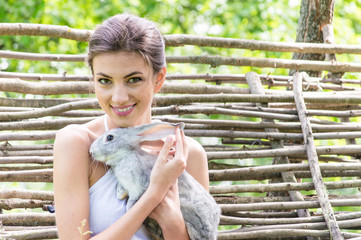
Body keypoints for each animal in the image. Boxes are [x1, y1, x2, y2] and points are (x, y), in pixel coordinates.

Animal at [89, 122, 219, 240]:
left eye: (110, 137)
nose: (91, 151)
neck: (125, 156)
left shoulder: (140, 187)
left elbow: (132, 201)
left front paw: (129, 210)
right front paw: (120, 193)